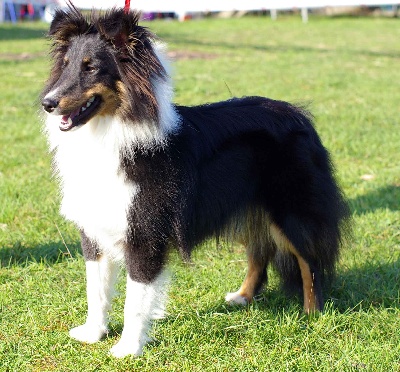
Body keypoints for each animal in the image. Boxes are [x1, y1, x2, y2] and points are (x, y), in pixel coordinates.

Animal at [39, 5, 346, 358]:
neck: (110, 131)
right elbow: (96, 289)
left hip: (291, 208)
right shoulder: (94, 226)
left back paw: (312, 315)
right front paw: (93, 333)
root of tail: (300, 117)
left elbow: (135, 299)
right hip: (250, 208)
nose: (47, 103)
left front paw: (128, 348)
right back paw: (242, 296)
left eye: (91, 68)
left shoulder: (144, 232)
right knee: (261, 251)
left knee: (309, 259)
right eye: (65, 65)